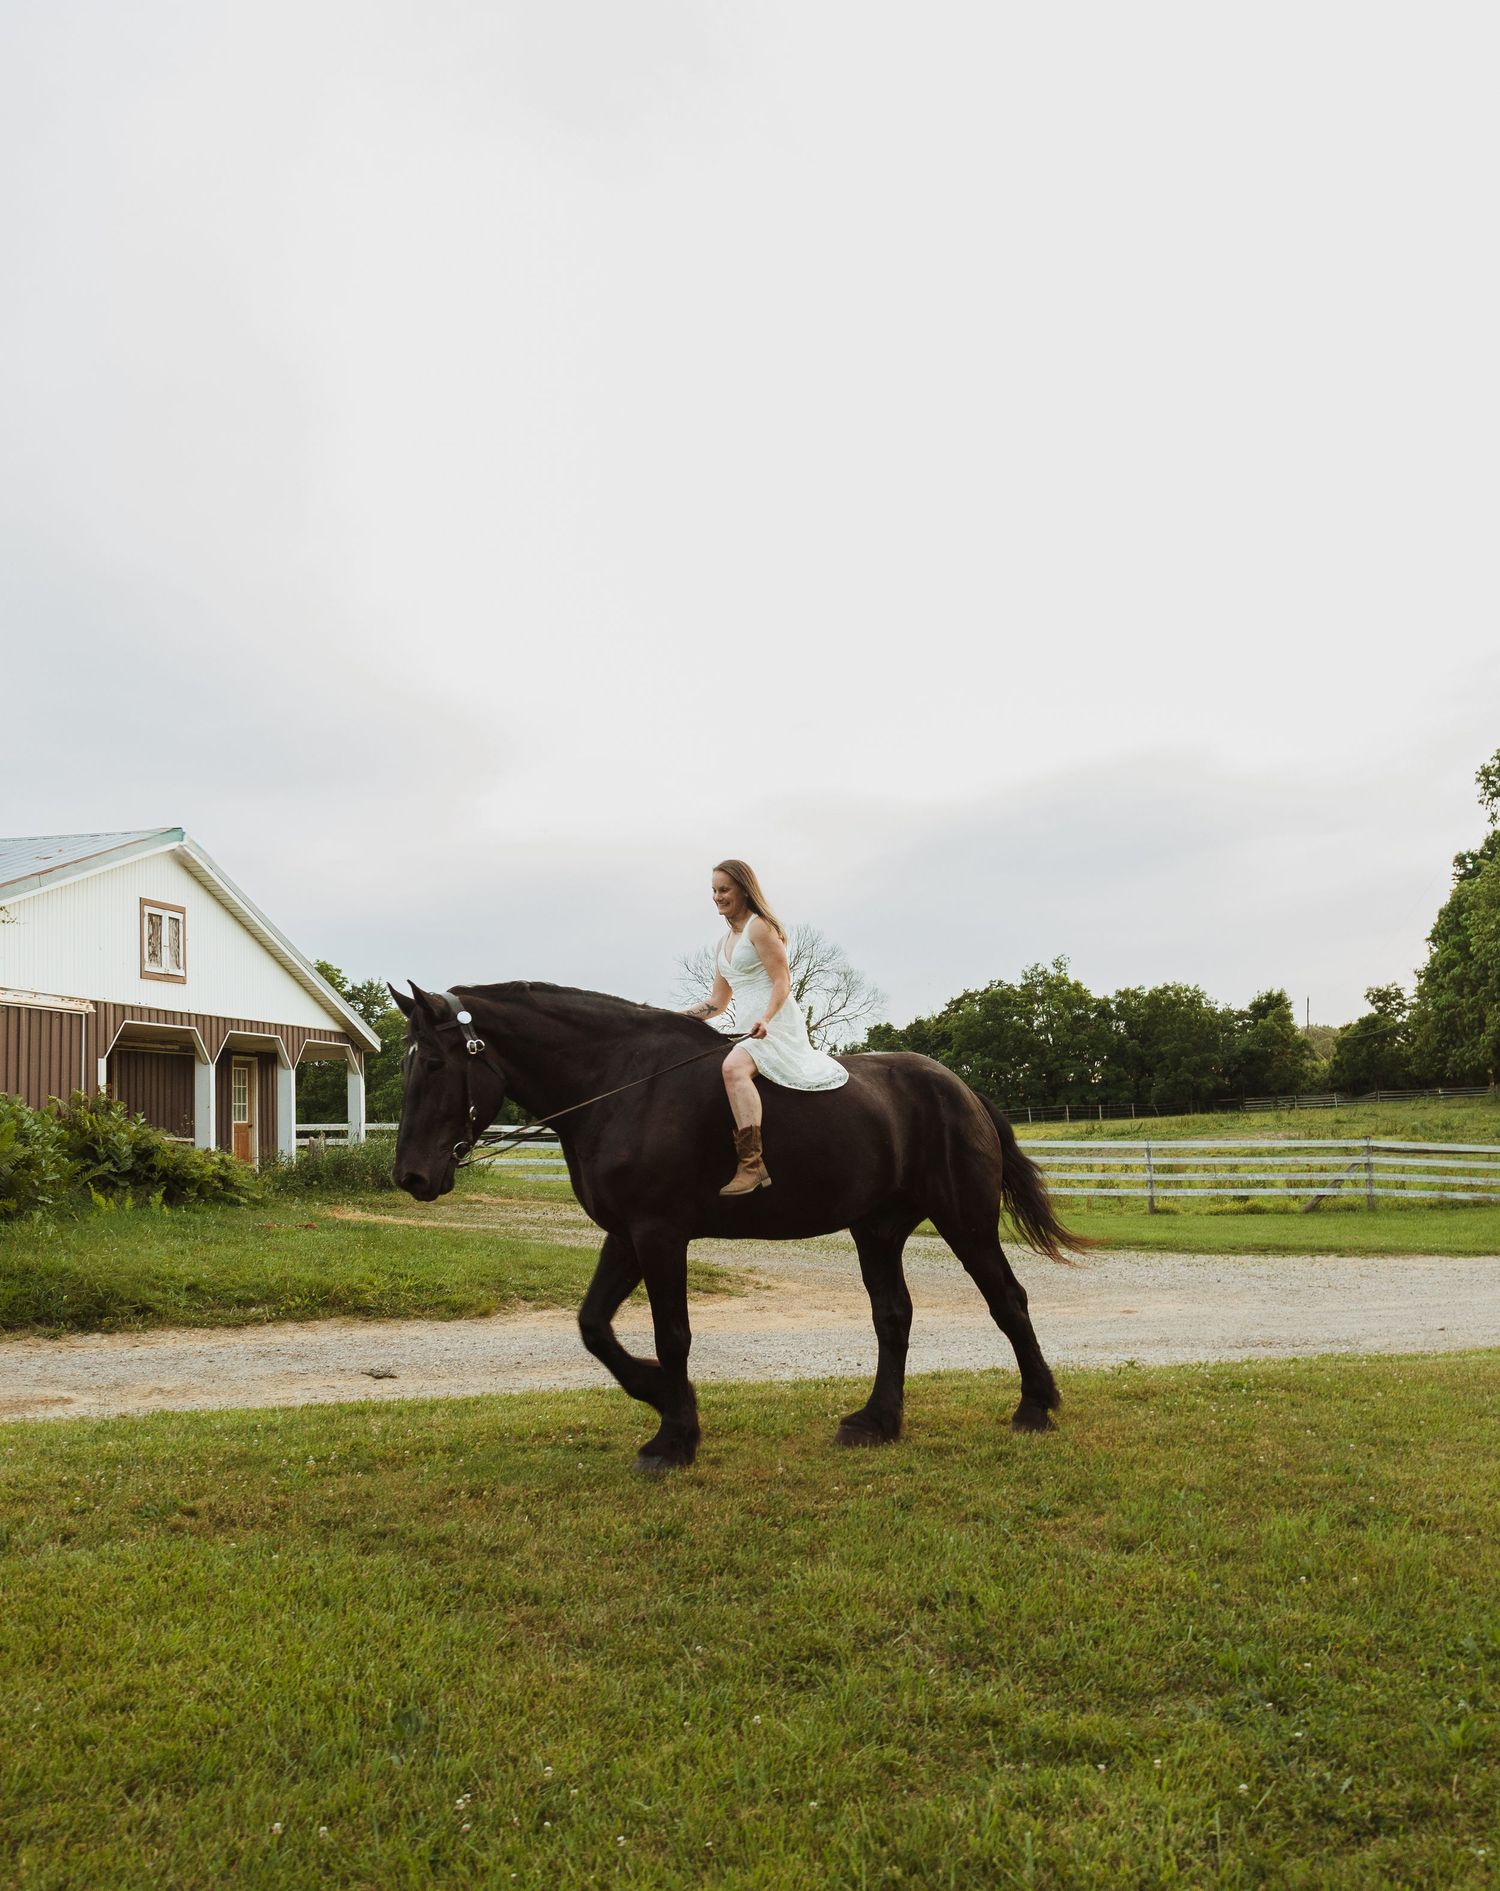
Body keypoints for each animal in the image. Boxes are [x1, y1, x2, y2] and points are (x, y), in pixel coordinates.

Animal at [390, 980, 1083, 1472]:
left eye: (434, 1064)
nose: (411, 1176)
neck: (622, 1085)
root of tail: (960, 1089)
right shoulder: (626, 1236)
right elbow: (593, 1327)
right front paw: (658, 1394)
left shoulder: (660, 1235)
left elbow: (671, 1334)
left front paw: (674, 1436)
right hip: (878, 1231)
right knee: (894, 1317)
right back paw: (877, 1421)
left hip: (966, 1222)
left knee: (1008, 1301)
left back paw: (1035, 1407)